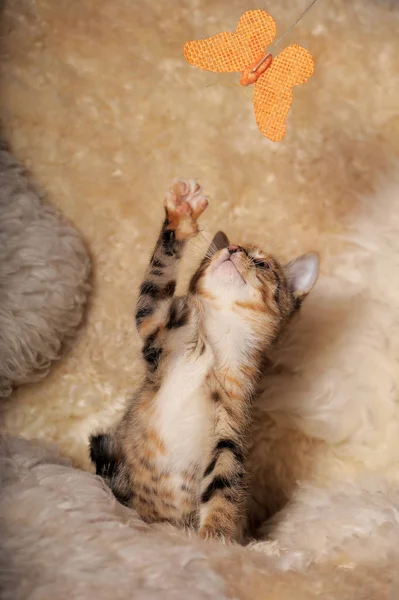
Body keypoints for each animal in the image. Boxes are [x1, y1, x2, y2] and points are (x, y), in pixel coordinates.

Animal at [89, 177, 320, 540]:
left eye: (262, 263)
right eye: (220, 251)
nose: (233, 249)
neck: (217, 336)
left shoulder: (231, 425)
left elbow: (225, 482)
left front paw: (215, 536)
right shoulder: (158, 327)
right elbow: (156, 283)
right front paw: (181, 217)